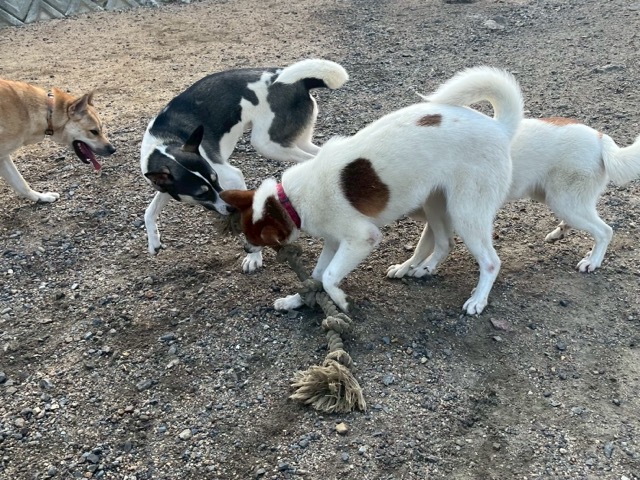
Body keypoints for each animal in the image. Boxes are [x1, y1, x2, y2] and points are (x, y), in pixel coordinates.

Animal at [140, 58, 349, 272]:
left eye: (215, 178)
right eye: (201, 194)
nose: (229, 209)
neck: (165, 144)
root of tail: (301, 82)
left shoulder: (231, 176)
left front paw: (254, 257)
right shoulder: (165, 187)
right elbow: (149, 212)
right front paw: (153, 242)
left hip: (268, 143)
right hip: (296, 140)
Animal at [220, 66, 524, 315]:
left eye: (258, 239)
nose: (246, 248)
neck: (289, 201)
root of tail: (499, 127)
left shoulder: (361, 238)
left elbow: (328, 277)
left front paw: (341, 301)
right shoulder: (334, 241)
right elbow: (317, 275)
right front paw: (296, 299)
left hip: (466, 212)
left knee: (490, 262)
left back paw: (478, 300)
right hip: (436, 202)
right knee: (444, 241)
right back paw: (419, 268)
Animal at [387, 119, 640, 278]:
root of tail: (600, 138)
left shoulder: (447, 214)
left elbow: (429, 246)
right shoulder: (438, 218)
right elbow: (422, 248)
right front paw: (405, 267)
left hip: (564, 201)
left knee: (604, 231)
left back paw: (592, 261)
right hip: (555, 198)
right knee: (587, 222)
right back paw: (561, 233)